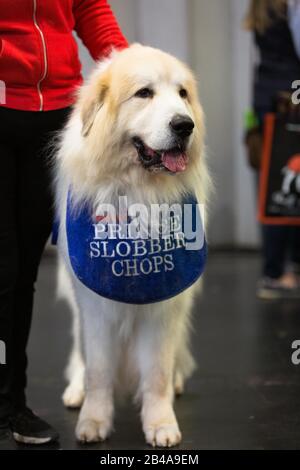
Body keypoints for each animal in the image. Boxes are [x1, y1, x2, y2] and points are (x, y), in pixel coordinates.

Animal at [55, 44, 211, 448]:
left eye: (182, 94)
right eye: (144, 93)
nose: (184, 125)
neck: (137, 193)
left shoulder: (163, 306)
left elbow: (156, 372)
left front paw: (160, 423)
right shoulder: (94, 303)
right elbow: (97, 369)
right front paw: (93, 420)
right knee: (79, 354)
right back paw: (76, 390)